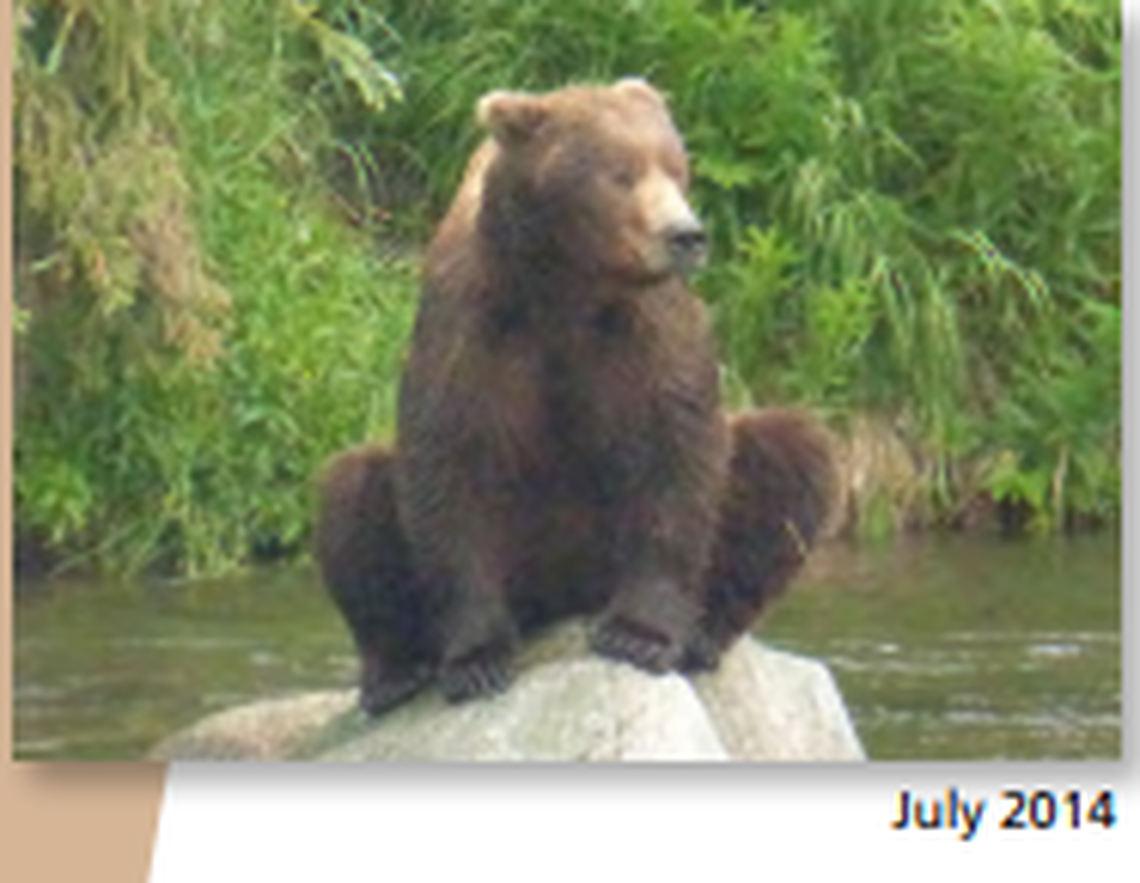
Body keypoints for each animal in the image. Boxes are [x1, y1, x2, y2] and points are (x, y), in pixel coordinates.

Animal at [314, 78, 836, 716]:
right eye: (621, 173)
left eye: (676, 167)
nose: (685, 236)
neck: (567, 284)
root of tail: (562, 601)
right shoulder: (473, 324)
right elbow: (450, 466)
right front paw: (477, 660)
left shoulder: (648, 332)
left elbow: (677, 453)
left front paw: (638, 635)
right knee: (351, 491)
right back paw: (395, 670)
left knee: (793, 455)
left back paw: (704, 632)